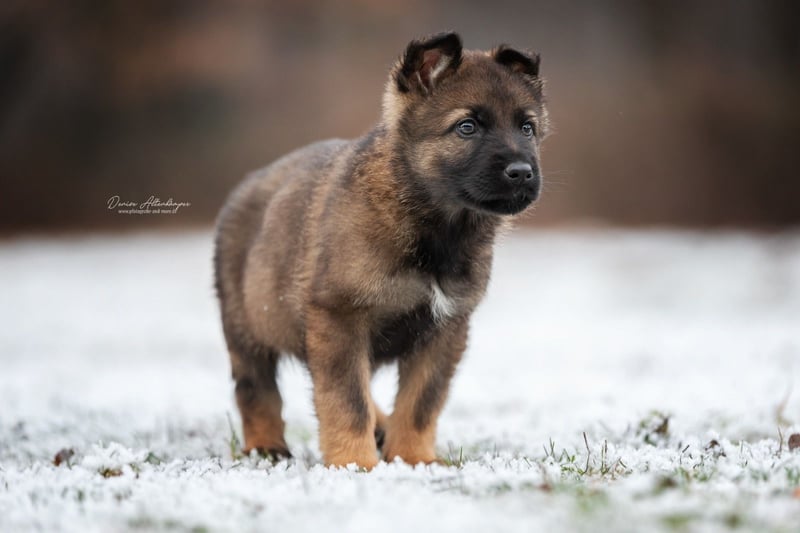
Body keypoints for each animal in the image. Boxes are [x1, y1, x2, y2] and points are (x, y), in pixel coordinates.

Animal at [214, 32, 548, 468]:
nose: (522, 173)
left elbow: (421, 402)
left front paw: (414, 458)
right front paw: (353, 463)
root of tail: (245, 185)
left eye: (527, 127)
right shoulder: (340, 318)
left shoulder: (446, 328)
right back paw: (266, 448)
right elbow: (345, 400)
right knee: (255, 389)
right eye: (467, 127)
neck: (434, 228)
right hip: (246, 328)